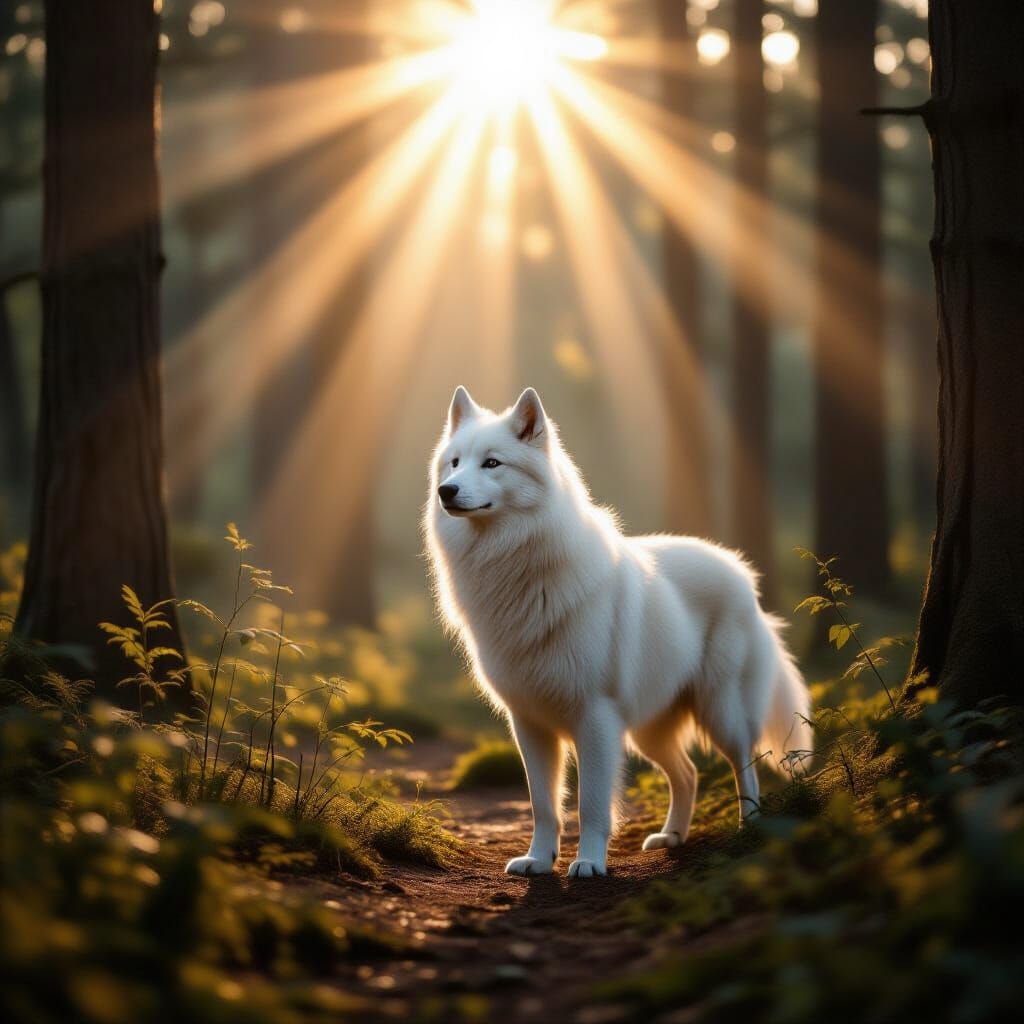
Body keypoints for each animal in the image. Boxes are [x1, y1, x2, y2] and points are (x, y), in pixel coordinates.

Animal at [424, 386, 811, 878]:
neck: (518, 565)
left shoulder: (595, 718)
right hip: (649, 730)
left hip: (721, 710)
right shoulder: (529, 722)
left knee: (746, 765)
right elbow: (543, 804)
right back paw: (672, 836)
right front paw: (539, 859)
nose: (446, 491)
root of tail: (743, 574)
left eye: (492, 463)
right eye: (455, 463)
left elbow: (591, 804)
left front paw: (589, 863)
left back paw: (749, 828)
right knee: (688, 773)